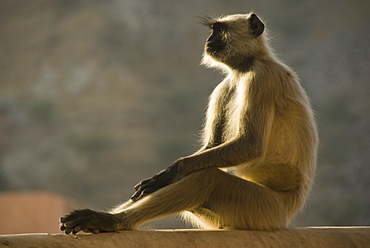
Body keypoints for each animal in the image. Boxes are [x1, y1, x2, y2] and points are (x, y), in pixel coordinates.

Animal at [60, 11, 318, 232]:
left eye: (220, 31)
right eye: (213, 30)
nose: (208, 40)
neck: (246, 67)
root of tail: (288, 213)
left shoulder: (261, 79)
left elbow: (250, 144)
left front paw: (169, 173)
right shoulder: (223, 87)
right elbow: (213, 146)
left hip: (263, 209)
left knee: (206, 178)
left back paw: (114, 221)